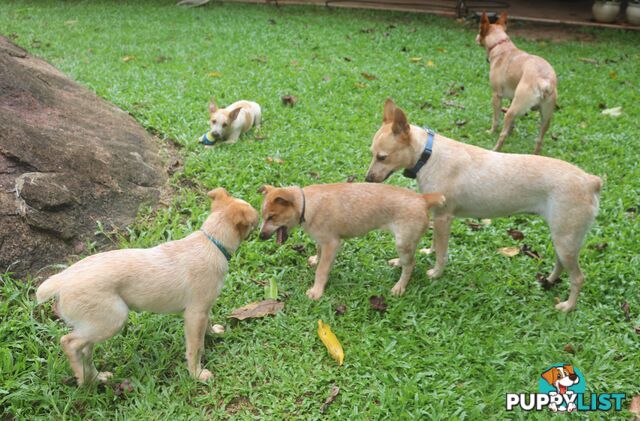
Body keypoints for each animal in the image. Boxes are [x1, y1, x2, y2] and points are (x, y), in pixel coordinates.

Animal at [35, 189, 258, 386]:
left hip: (93, 324)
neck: (212, 242)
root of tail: (63, 279)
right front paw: (196, 374)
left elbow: (207, 326)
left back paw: (94, 377)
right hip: (113, 319)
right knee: (68, 342)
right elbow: (195, 347)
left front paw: (213, 333)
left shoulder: (202, 310)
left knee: (84, 351)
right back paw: (82, 378)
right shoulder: (195, 314)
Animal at [258, 183, 444, 298]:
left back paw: (400, 287)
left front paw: (317, 291)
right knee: (409, 260)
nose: (260, 237)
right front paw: (315, 260)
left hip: (402, 241)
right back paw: (397, 263)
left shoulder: (332, 244)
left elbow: (322, 270)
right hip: (406, 242)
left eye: (272, 217)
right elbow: (318, 252)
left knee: (410, 264)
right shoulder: (322, 240)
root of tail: (423, 199)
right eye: (263, 216)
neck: (307, 205)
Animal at [364, 97, 600, 308]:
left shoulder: (444, 218)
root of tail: (591, 181)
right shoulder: (437, 216)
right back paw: (549, 282)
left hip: (565, 238)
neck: (427, 154)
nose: (367, 179)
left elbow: (442, 253)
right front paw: (427, 253)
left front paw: (436, 273)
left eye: (382, 157)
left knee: (578, 277)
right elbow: (434, 243)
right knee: (561, 264)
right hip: (563, 237)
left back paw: (568, 306)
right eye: (372, 154)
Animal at [478, 12, 556, 155]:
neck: (501, 46)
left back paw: (495, 150)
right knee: (539, 140)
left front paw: (491, 131)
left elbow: (496, 119)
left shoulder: (496, 95)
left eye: (479, 30)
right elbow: (511, 125)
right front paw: (511, 131)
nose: (476, 38)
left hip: (513, 110)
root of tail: (544, 82)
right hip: (545, 118)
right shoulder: (511, 98)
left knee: (502, 135)